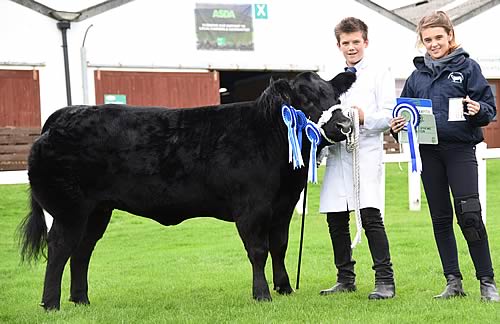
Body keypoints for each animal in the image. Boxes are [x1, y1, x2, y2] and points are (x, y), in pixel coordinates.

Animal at [19, 70, 356, 308]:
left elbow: (279, 246)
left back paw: (81, 300)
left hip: (97, 211)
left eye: (333, 96)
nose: (344, 126)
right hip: (69, 209)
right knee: (60, 247)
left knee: (82, 250)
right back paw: (51, 304)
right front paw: (262, 295)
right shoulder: (252, 207)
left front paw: (284, 288)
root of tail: (64, 115)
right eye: (306, 100)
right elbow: (258, 250)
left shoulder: (283, 205)